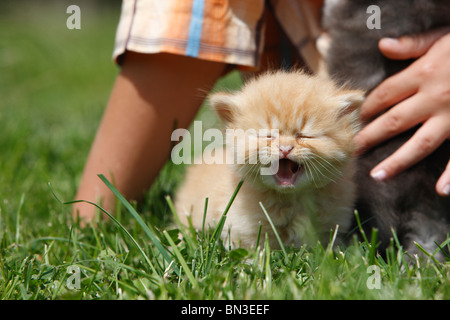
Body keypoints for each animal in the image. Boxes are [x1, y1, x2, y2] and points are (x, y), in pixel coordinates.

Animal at [174, 70, 364, 250]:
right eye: (268, 136)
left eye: (304, 136)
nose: (285, 148)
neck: (289, 198)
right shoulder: (243, 229)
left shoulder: (331, 226)